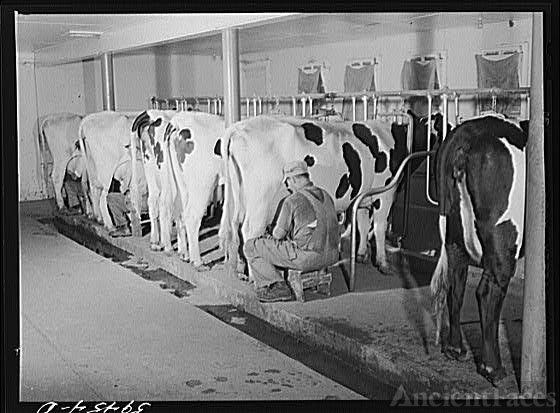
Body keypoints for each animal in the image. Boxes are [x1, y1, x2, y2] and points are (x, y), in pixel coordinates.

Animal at [130, 109, 188, 258]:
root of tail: (151, 114)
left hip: (150, 167)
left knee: (153, 201)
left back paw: (156, 242)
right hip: (167, 176)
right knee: (164, 203)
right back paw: (168, 246)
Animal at [164, 111, 225, 268]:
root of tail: (178, 121)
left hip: (180, 185)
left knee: (179, 213)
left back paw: (183, 254)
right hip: (202, 184)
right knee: (191, 216)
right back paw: (197, 261)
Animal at [430, 112, 528, 384]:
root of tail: (469, 131)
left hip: (453, 234)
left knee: (456, 283)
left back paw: (455, 349)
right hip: (503, 238)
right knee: (487, 291)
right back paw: (493, 368)